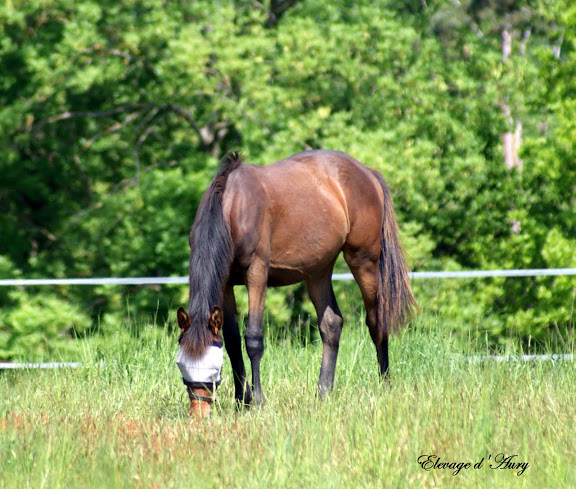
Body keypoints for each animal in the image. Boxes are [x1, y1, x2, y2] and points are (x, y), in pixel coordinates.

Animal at [173, 150, 416, 416]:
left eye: (213, 371)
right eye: (182, 366)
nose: (198, 414)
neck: (233, 206)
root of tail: (367, 172)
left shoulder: (256, 273)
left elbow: (253, 339)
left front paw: (258, 401)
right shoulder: (225, 283)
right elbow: (233, 342)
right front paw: (240, 401)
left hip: (364, 261)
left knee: (376, 322)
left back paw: (385, 384)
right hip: (318, 271)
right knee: (331, 324)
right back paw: (323, 393)